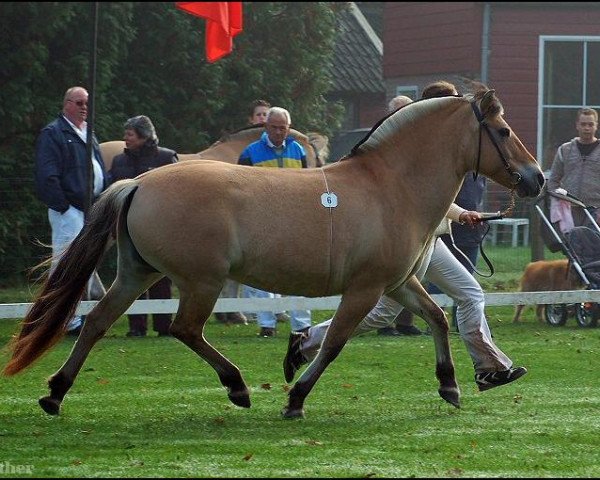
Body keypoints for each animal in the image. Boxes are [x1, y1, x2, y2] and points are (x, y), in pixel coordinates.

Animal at [2, 91, 544, 420]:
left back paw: (54, 393)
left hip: (137, 274)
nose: (536, 179)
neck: (391, 186)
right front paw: (296, 398)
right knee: (184, 329)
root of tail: (137, 182)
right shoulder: (365, 288)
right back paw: (237, 386)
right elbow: (335, 342)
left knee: (96, 322)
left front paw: (451, 385)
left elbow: (435, 316)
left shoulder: (397, 283)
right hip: (201, 282)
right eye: (501, 131)